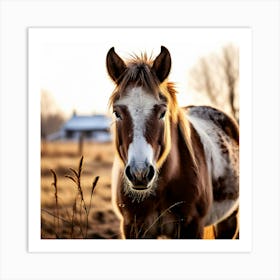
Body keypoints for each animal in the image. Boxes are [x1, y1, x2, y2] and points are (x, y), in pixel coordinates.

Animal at [105, 46, 238, 238]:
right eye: (117, 113)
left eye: (162, 112)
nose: (140, 173)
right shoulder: (133, 228)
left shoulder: (192, 227)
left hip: (229, 219)